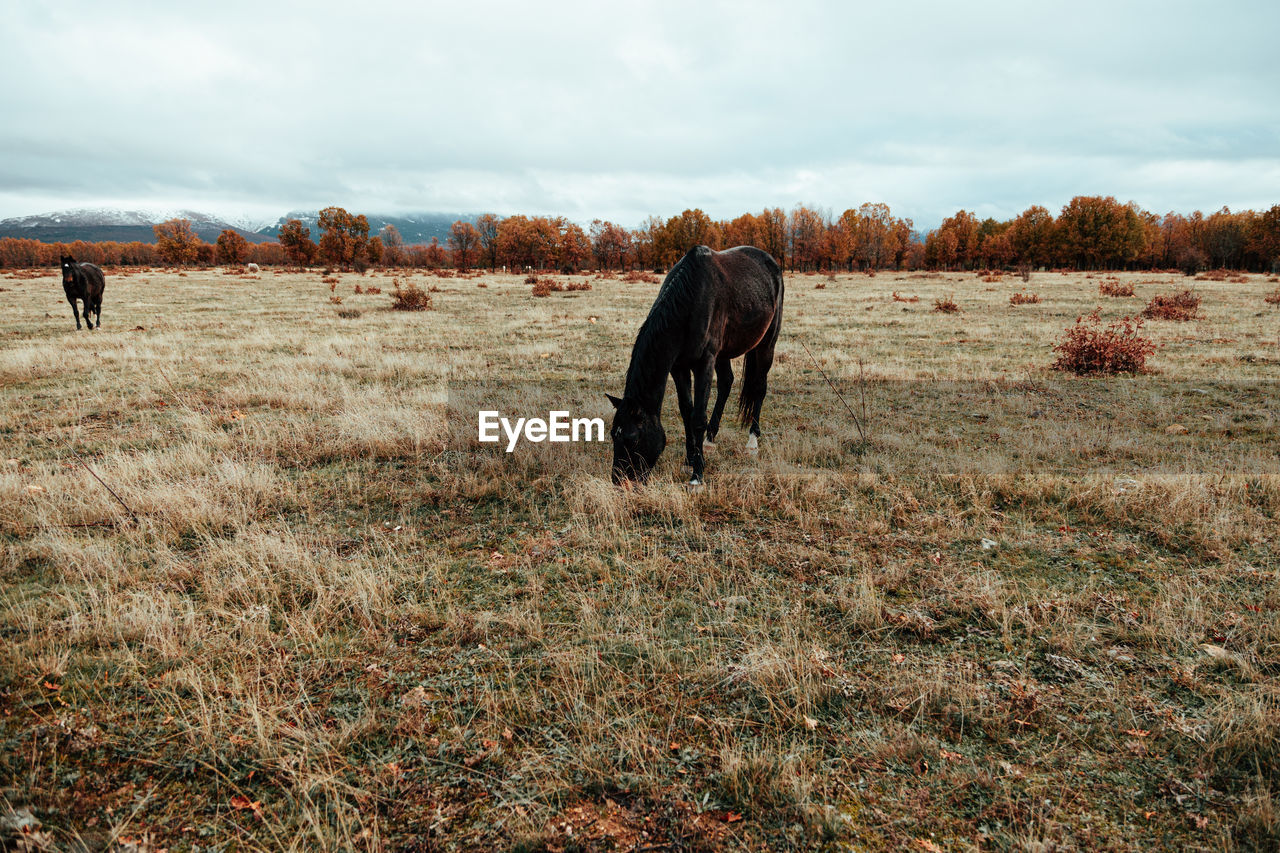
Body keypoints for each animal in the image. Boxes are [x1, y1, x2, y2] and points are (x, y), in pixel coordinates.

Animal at [606, 245, 778, 484]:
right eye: (613, 435)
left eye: (633, 439)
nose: (620, 481)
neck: (689, 301)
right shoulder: (679, 367)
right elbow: (686, 411)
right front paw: (690, 460)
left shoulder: (704, 363)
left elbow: (697, 417)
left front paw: (697, 475)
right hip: (723, 353)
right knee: (726, 383)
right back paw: (710, 440)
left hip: (766, 344)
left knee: (759, 388)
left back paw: (752, 442)